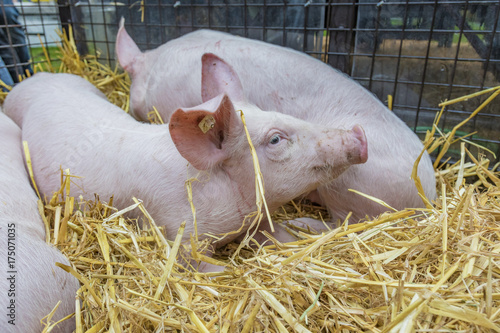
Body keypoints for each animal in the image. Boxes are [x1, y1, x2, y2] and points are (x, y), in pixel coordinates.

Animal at [3, 72, 368, 260]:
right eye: (276, 139)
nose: (359, 134)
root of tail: (33, 76)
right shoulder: (178, 232)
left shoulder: (258, 219)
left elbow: (276, 235)